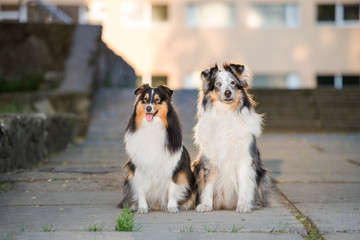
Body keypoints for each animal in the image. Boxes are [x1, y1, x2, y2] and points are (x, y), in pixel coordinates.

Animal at [119, 83, 195, 213]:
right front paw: (142, 207)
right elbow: (141, 190)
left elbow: (172, 189)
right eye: (144, 99)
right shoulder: (138, 168)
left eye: (157, 100)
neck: (152, 127)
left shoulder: (173, 167)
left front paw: (172, 207)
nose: (148, 108)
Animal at [193, 62, 268, 213]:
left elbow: (244, 185)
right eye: (218, 84)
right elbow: (208, 186)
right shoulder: (210, 160)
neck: (225, 112)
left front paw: (243, 205)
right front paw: (206, 205)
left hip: (261, 174)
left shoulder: (244, 159)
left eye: (233, 82)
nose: (227, 93)